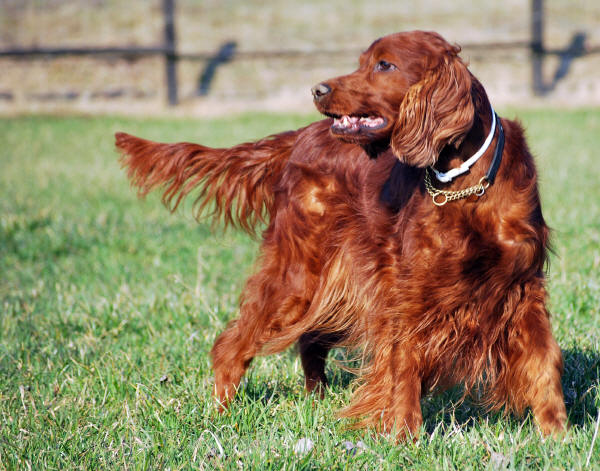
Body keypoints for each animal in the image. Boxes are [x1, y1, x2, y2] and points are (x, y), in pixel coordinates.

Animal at [116, 31, 568, 440]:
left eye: (384, 64)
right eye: (362, 61)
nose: (317, 89)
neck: (467, 182)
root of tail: (300, 136)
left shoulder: (522, 286)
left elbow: (545, 358)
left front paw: (557, 434)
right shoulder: (411, 291)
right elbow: (405, 361)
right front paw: (404, 436)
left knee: (309, 339)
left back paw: (314, 399)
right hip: (298, 274)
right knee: (233, 344)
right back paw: (221, 411)